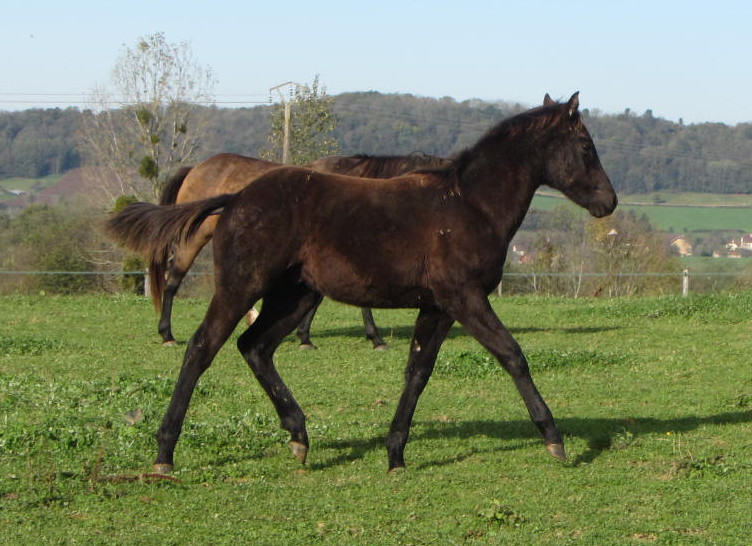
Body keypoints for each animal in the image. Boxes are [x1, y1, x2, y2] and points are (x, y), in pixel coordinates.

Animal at [151, 150, 446, 344]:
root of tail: (194, 169)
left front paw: (304, 335)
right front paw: (374, 338)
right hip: (195, 238)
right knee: (172, 280)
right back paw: (167, 333)